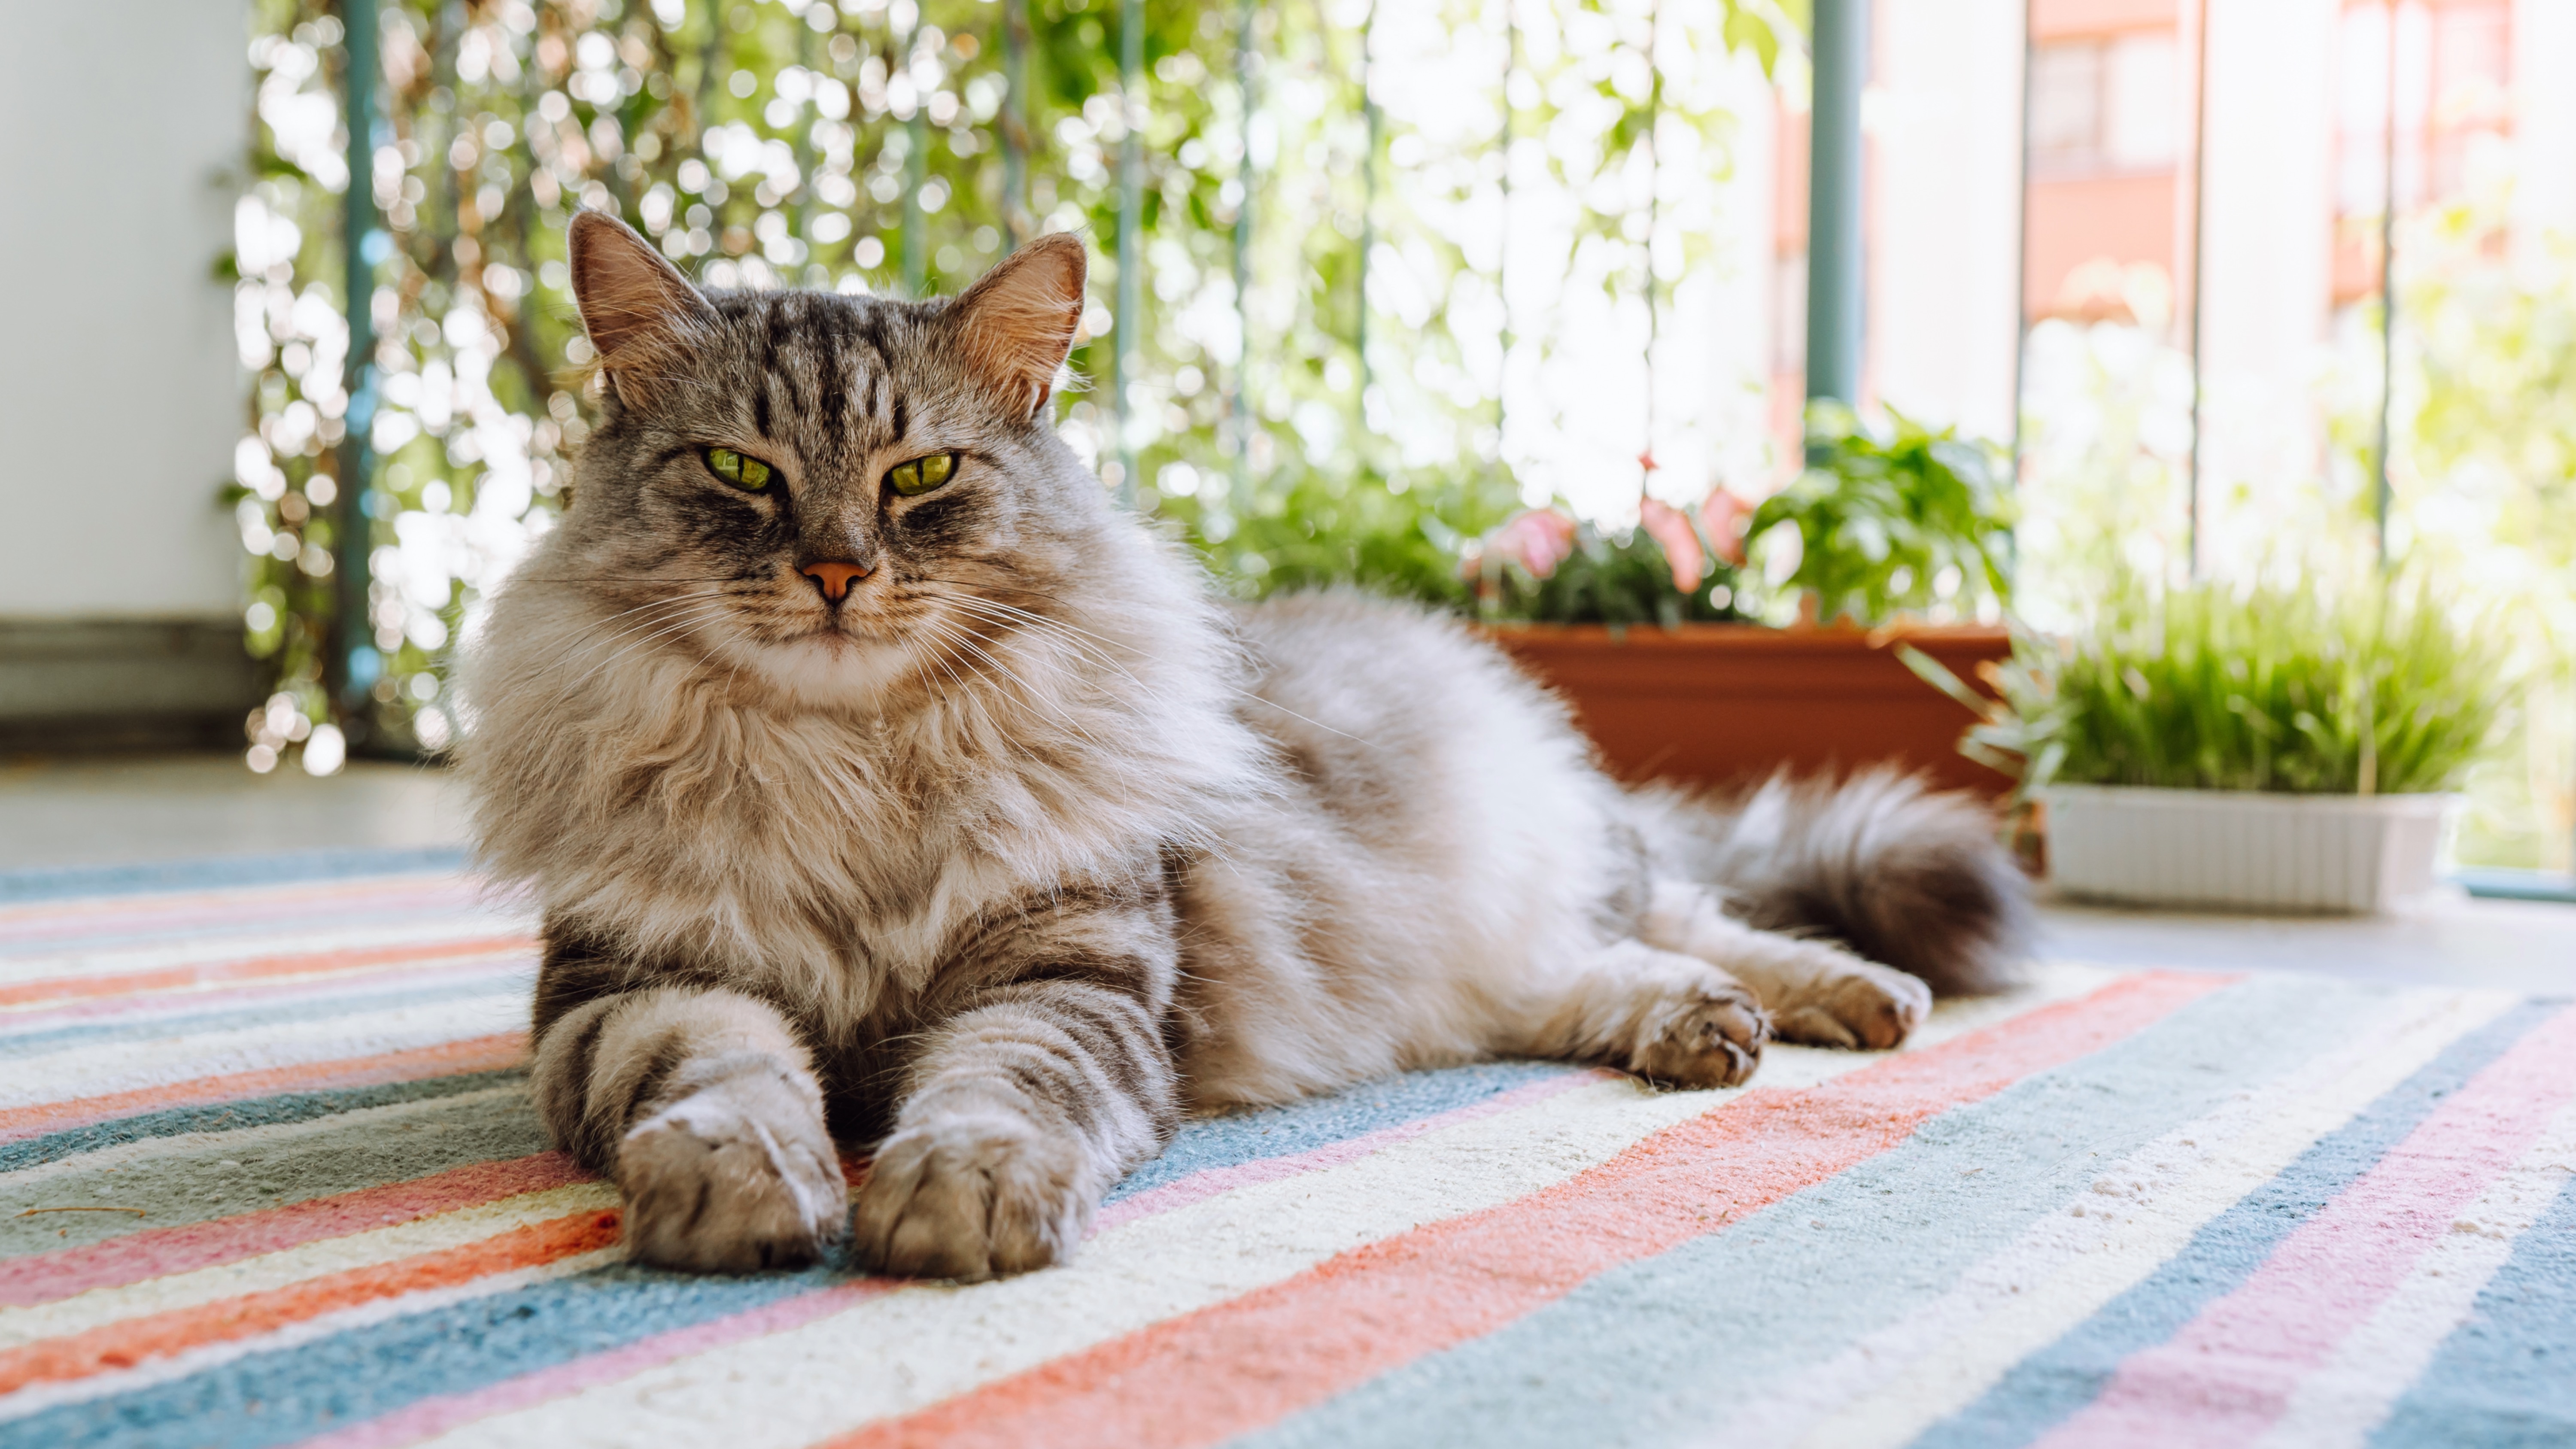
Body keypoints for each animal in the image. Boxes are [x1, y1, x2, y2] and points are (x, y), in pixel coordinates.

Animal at [464, 211, 2030, 1273]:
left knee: (1693, 914)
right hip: (1456, 969)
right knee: (1585, 978)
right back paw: (1702, 1025)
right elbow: (724, 1079)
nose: (839, 570)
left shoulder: (1068, 978)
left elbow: (994, 1093)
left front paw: (958, 1200)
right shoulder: (640, 986)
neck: (845, 761)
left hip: (1559, 865)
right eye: (740, 471)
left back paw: (1840, 996)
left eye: (924, 476)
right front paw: (737, 1189)